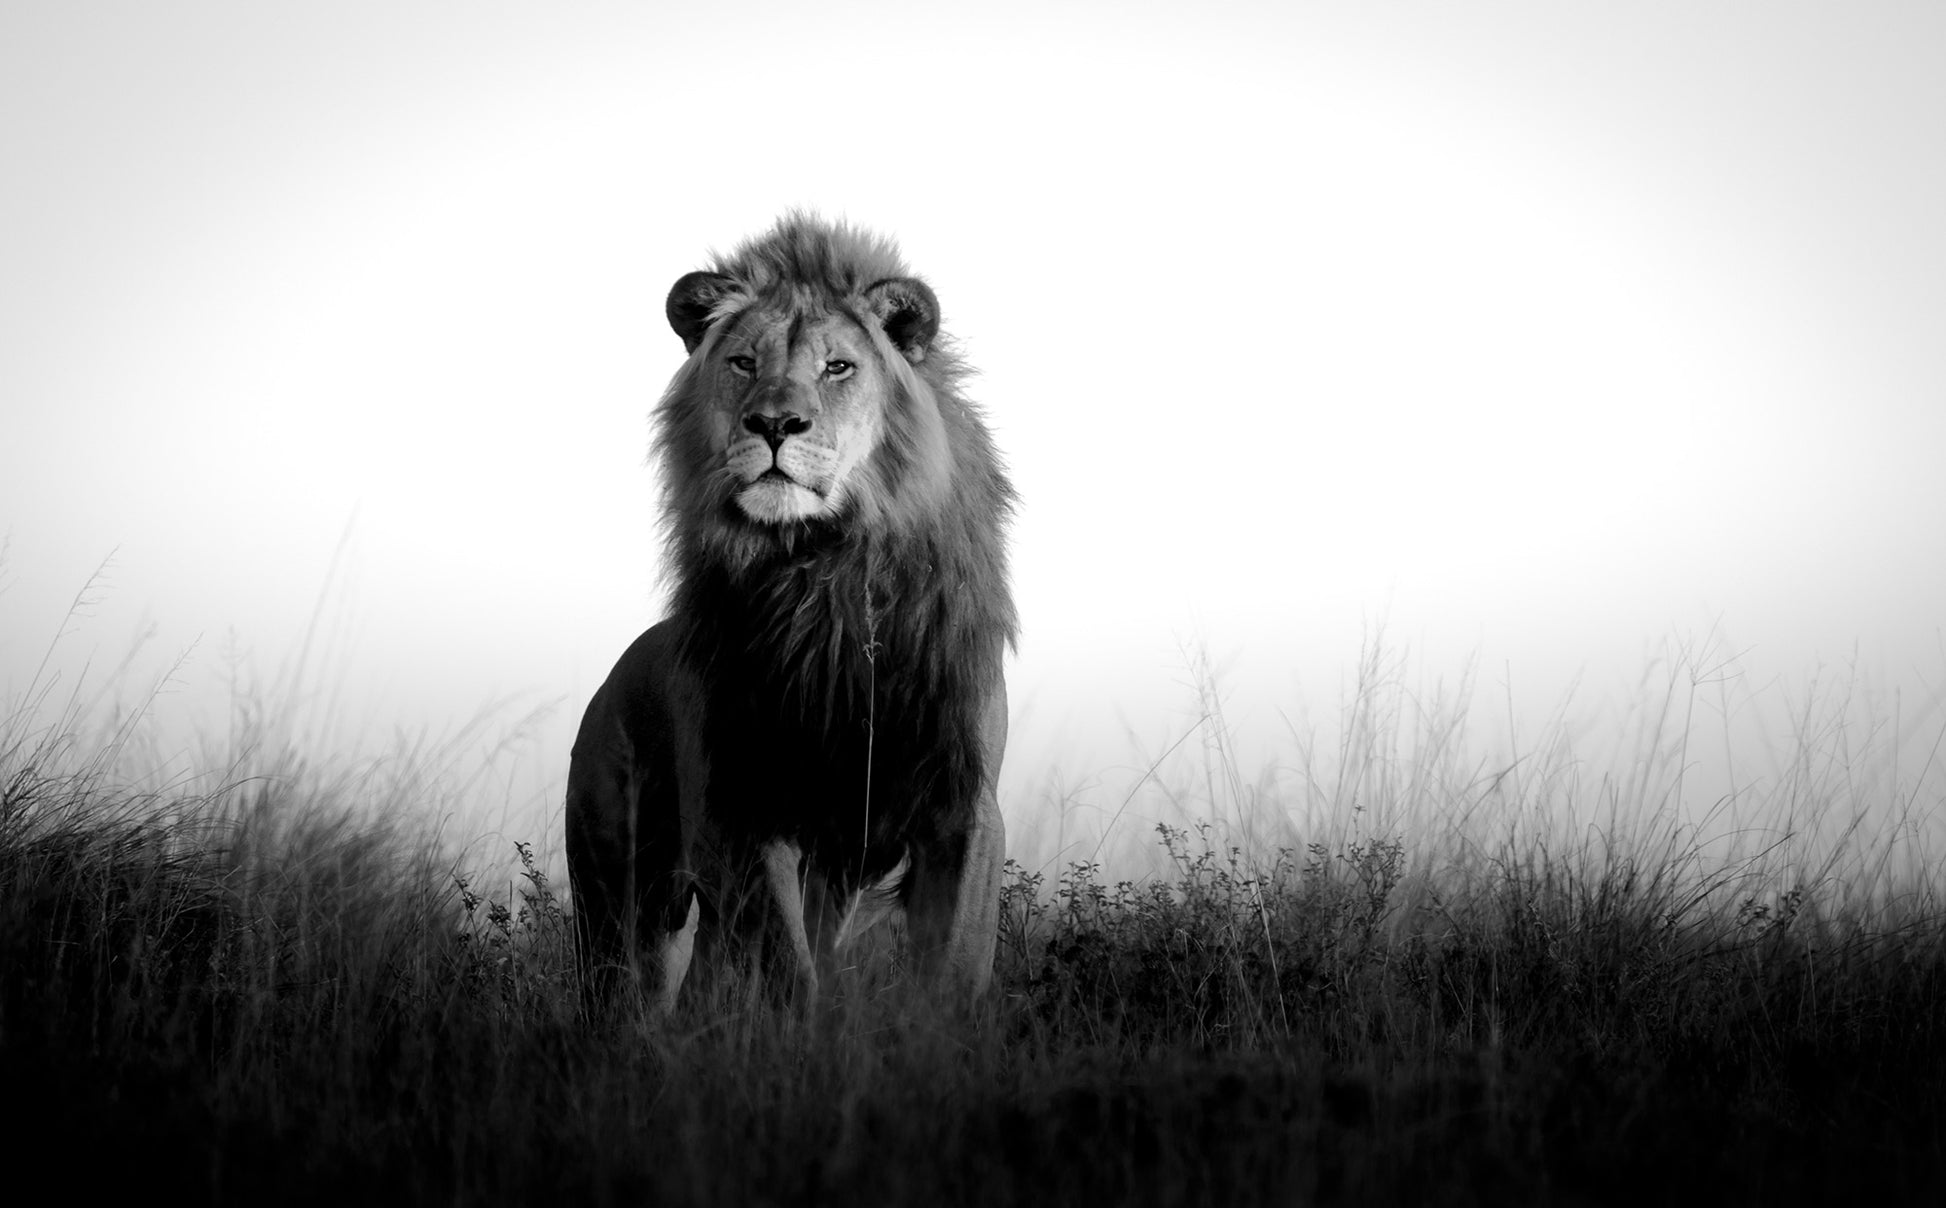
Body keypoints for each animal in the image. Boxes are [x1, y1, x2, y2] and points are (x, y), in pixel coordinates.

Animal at [565, 214, 1016, 1015]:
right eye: (744, 362)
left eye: (838, 367)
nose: (775, 423)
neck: (822, 572)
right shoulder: (747, 805)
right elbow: (786, 967)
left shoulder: (961, 805)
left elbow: (954, 966)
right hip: (617, 891)